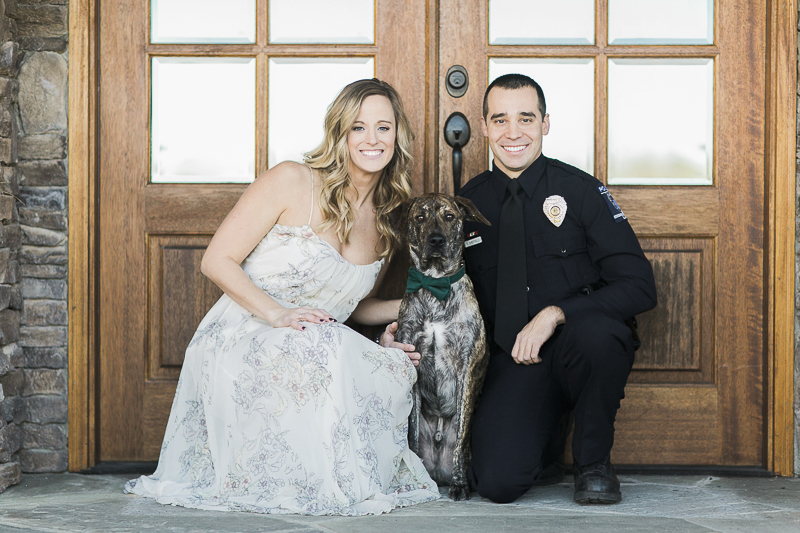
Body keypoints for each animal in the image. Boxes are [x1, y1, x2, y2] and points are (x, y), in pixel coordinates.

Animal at [390, 191, 490, 498]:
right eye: (420, 217)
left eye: (449, 216)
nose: (436, 240)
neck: (436, 284)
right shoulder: (411, 356)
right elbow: (411, 434)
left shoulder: (466, 368)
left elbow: (460, 439)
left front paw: (460, 484)